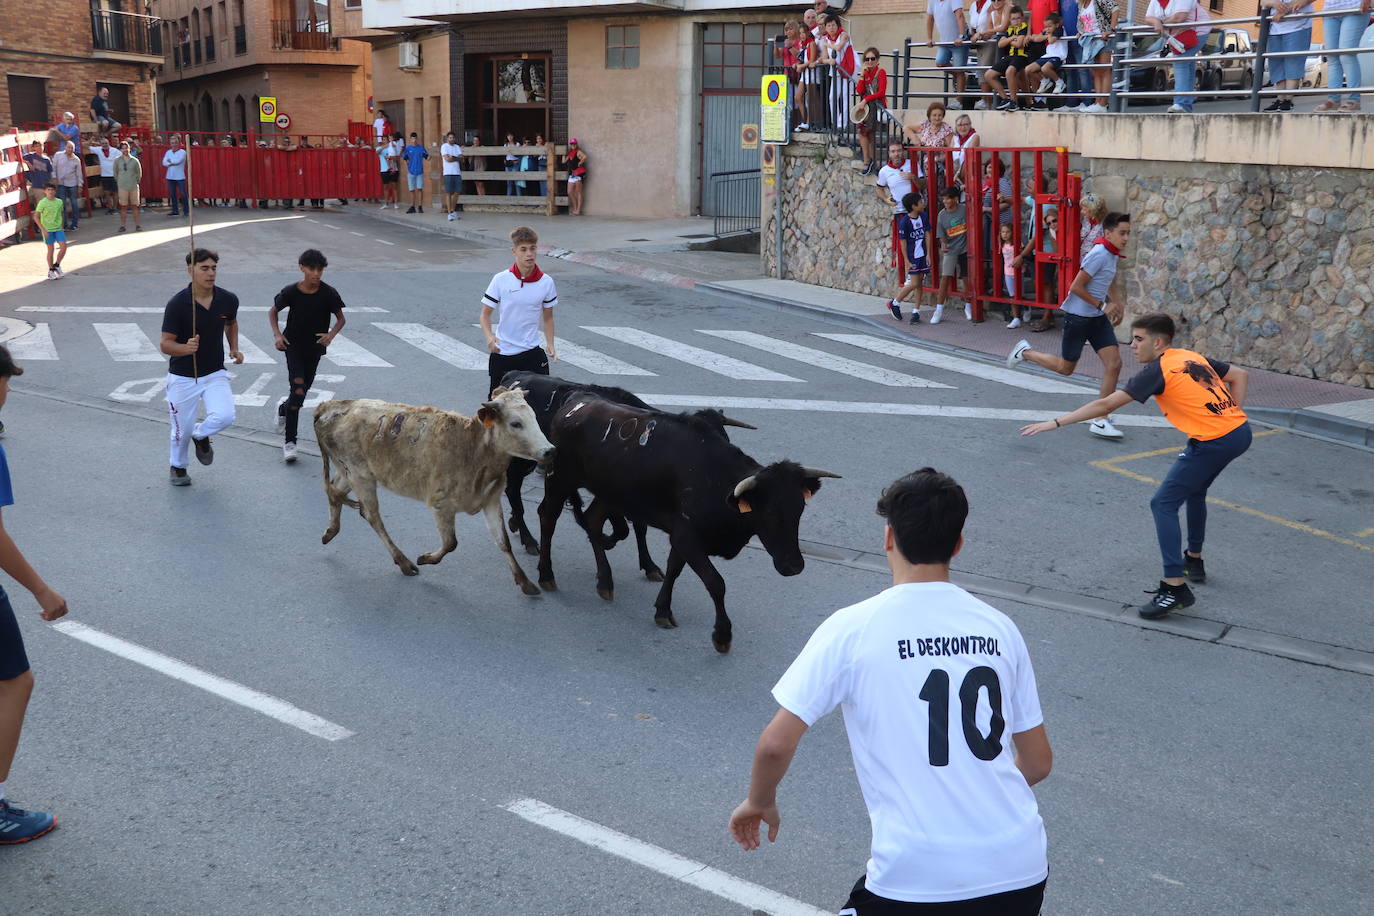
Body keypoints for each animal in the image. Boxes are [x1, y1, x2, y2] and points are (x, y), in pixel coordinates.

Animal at [311, 387, 552, 596]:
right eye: (516, 423)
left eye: (534, 417)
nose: (549, 450)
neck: (473, 449)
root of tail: (329, 406)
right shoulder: (441, 504)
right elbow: (451, 543)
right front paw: (425, 558)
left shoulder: (491, 499)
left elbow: (503, 542)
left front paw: (525, 582)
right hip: (360, 475)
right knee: (371, 516)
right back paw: (404, 562)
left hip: (349, 472)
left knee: (334, 491)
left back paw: (331, 531)